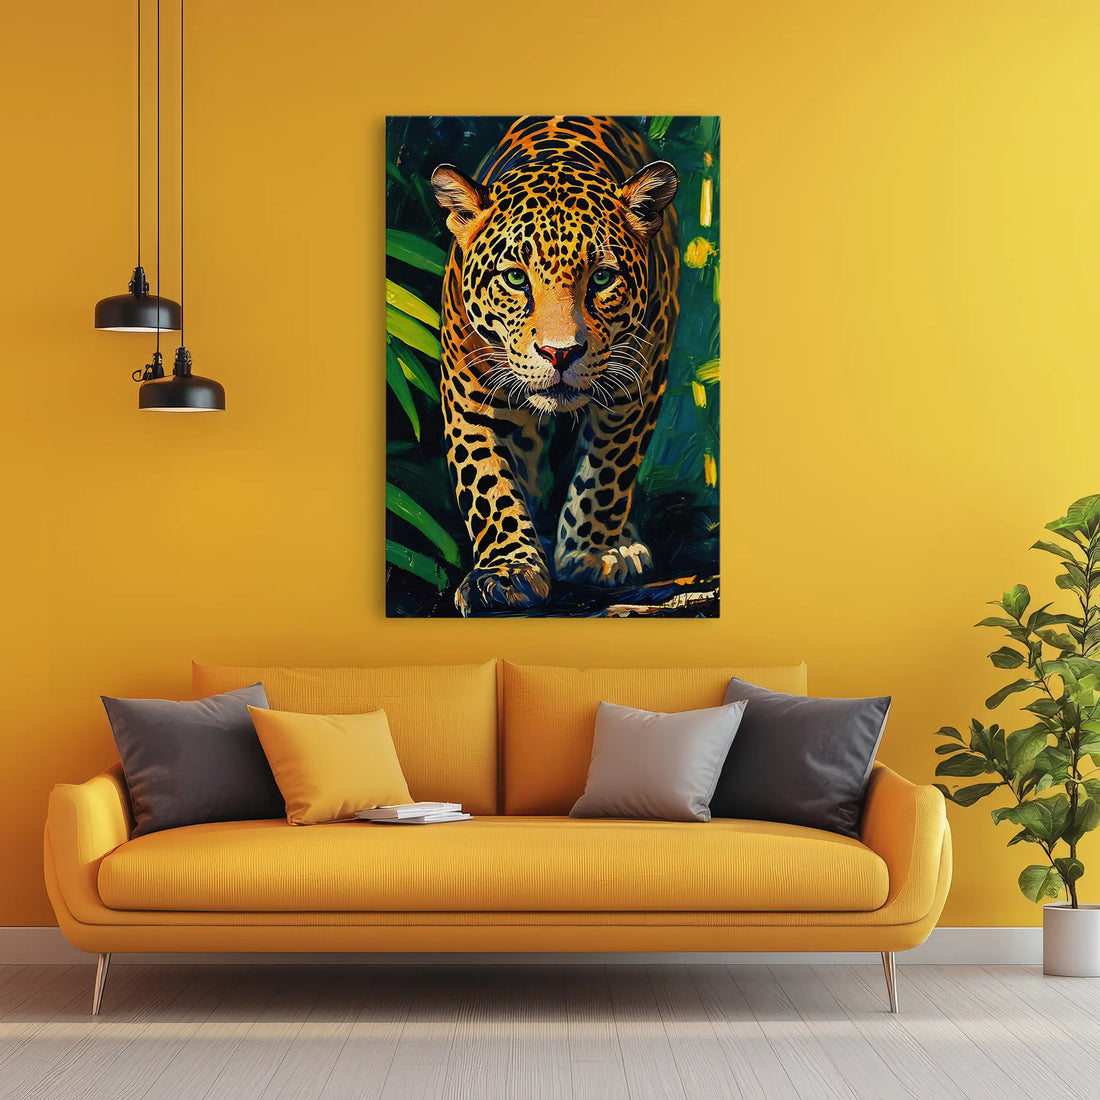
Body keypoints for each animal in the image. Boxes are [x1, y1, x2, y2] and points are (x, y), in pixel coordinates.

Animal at [430, 115, 680, 616]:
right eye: (514, 278)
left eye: (601, 278)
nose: (560, 353)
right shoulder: (468, 394)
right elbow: (487, 482)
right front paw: (507, 571)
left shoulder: (638, 385)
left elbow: (607, 471)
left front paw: (590, 554)